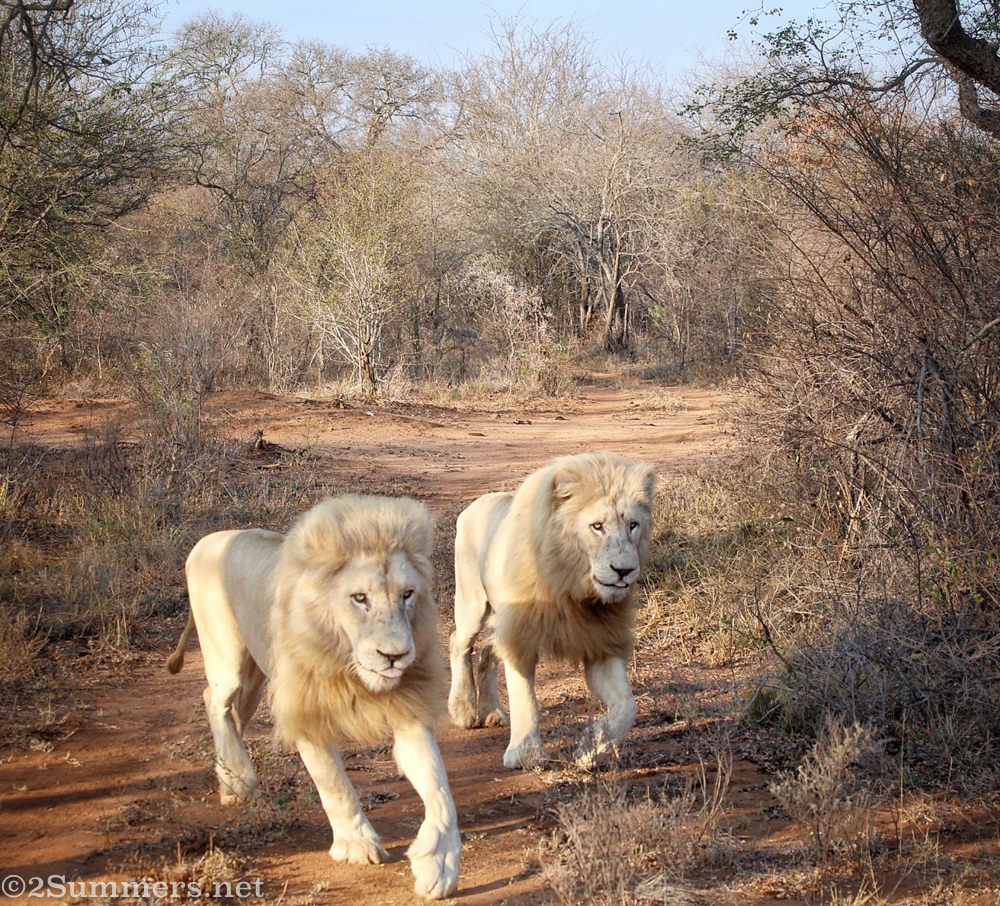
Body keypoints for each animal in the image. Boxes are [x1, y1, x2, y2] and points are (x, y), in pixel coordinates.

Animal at [166, 495, 460, 900]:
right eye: (360, 598)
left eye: (407, 595)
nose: (396, 656)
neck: (347, 663)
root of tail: (207, 540)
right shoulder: (304, 711)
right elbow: (335, 783)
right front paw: (357, 843)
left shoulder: (408, 712)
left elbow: (440, 789)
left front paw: (439, 863)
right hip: (228, 660)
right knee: (214, 698)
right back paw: (239, 778)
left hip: (256, 678)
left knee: (234, 714)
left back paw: (228, 778)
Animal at [448, 451, 656, 770]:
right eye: (597, 526)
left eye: (633, 525)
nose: (624, 571)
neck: (572, 587)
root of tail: (477, 502)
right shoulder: (521, 633)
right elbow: (525, 699)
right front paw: (525, 754)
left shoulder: (600, 643)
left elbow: (626, 706)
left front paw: (590, 749)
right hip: (472, 601)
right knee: (458, 643)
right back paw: (463, 709)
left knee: (485, 652)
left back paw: (492, 711)